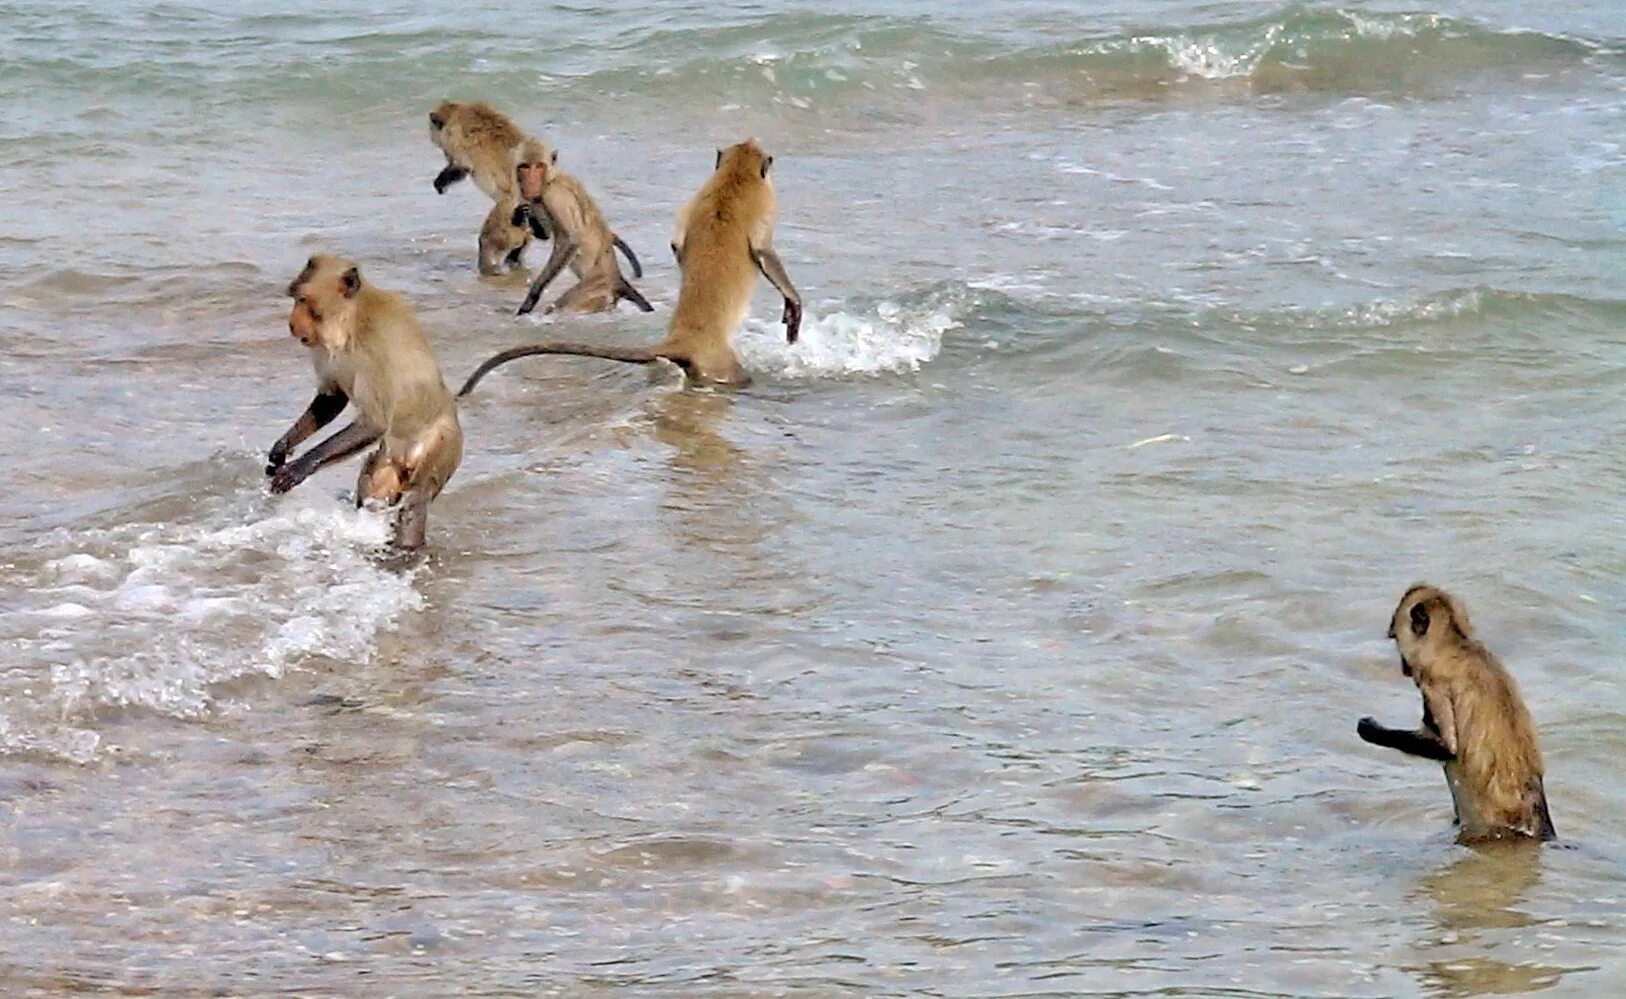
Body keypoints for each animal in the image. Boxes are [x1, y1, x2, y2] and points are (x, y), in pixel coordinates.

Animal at [263, 253, 461, 553]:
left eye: (303, 299)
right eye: (295, 297)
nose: (292, 324)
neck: (349, 321)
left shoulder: (376, 348)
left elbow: (374, 422)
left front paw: (300, 467)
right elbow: (331, 399)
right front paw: (281, 450)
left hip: (442, 446)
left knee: (415, 500)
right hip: (389, 458)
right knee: (372, 487)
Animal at [426, 101, 552, 276]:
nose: (431, 136)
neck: (457, 112)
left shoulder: (455, 141)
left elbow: (461, 167)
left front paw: (439, 183)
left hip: (505, 217)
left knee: (488, 241)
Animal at [513, 143, 653, 317]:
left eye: (539, 166)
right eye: (524, 167)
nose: (530, 182)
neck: (551, 179)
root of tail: (617, 279)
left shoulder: (555, 196)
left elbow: (571, 241)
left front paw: (531, 298)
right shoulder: (537, 200)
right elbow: (544, 234)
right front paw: (520, 213)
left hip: (596, 288)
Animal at [1352, 585, 1554, 846]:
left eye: (1395, 638)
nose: (1403, 667)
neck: (1458, 647)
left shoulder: (1434, 685)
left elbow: (1447, 748)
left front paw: (1369, 728)